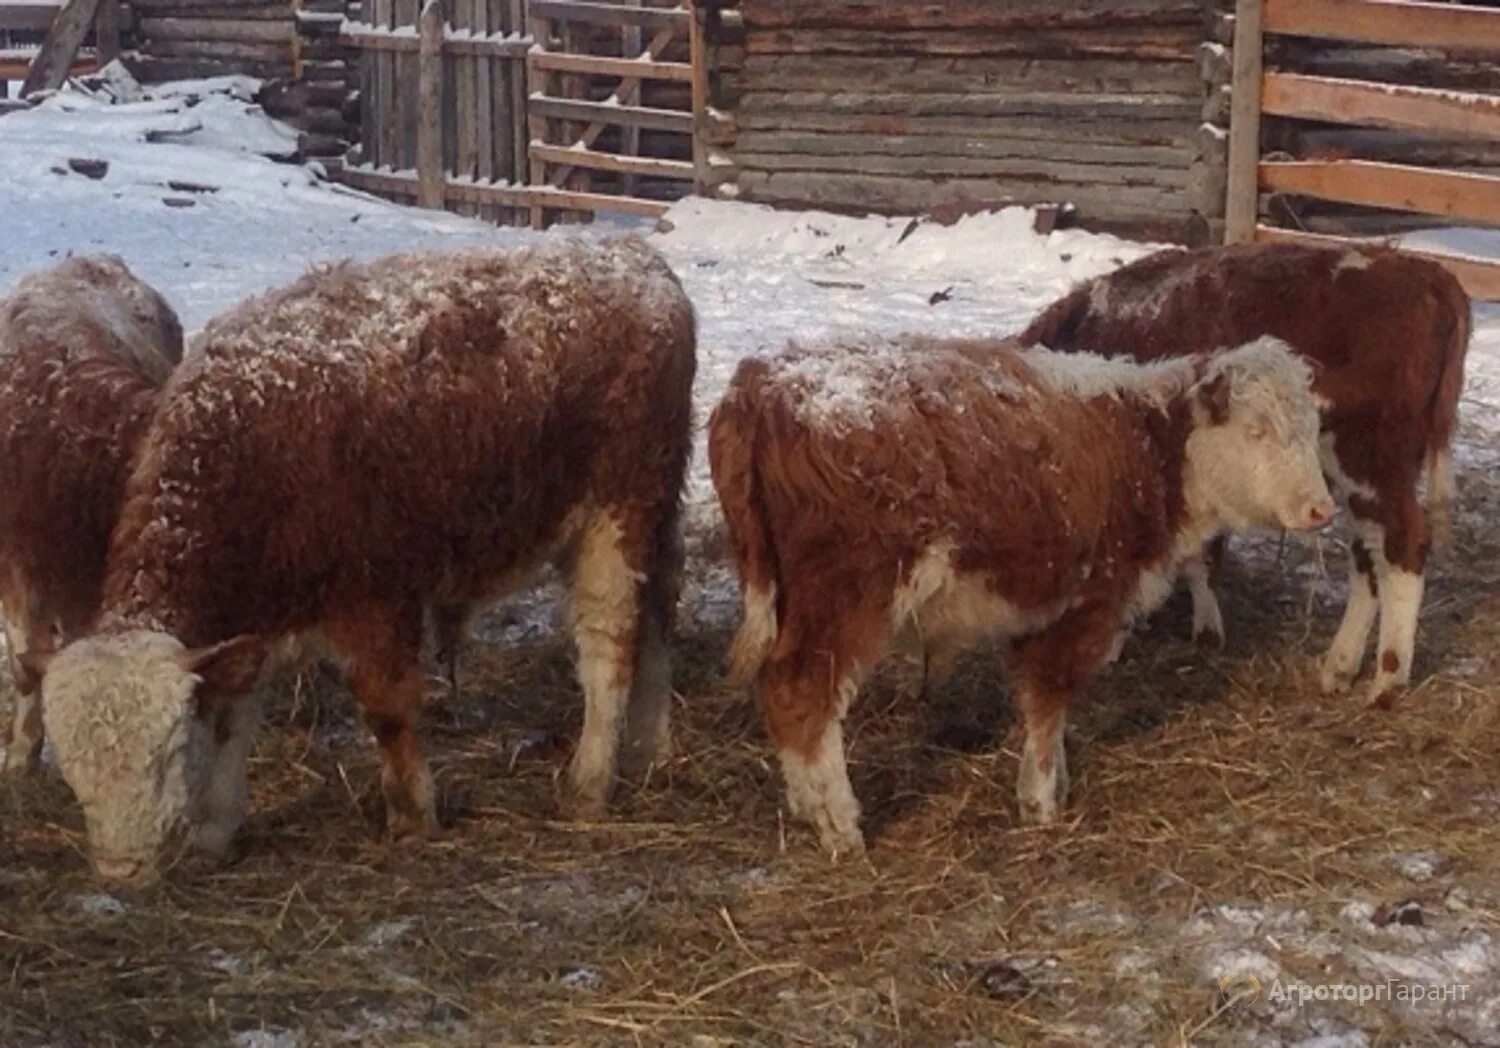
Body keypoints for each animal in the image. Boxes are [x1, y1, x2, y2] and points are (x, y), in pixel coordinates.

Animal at [30, 238, 696, 887]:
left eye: (165, 755)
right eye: (72, 771)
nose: (120, 871)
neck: (247, 443)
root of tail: (636, 257)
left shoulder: (373, 596)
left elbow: (388, 710)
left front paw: (413, 818)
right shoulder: (253, 616)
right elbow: (233, 720)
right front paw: (217, 833)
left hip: (617, 516)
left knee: (610, 643)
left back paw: (590, 782)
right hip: (648, 519)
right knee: (657, 618)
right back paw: (652, 746)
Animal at [708, 331, 1332, 857]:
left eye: (1311, 432)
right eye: (1256, 430)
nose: (1321, 509)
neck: (1147, 448)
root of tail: (762, 383)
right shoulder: (1084, 604)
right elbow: (1047, 701)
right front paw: (1041, 803)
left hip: (791, 601)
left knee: (780, 690)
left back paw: (805, 805)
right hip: (843, 601)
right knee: (803, 695)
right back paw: (840, 827)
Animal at [1014, 244, 1470, 704]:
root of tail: (1425, 271)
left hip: (1371, 466)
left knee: (1403, 545)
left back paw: (1387, 680)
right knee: (1369, 556)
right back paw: (1340, 666)